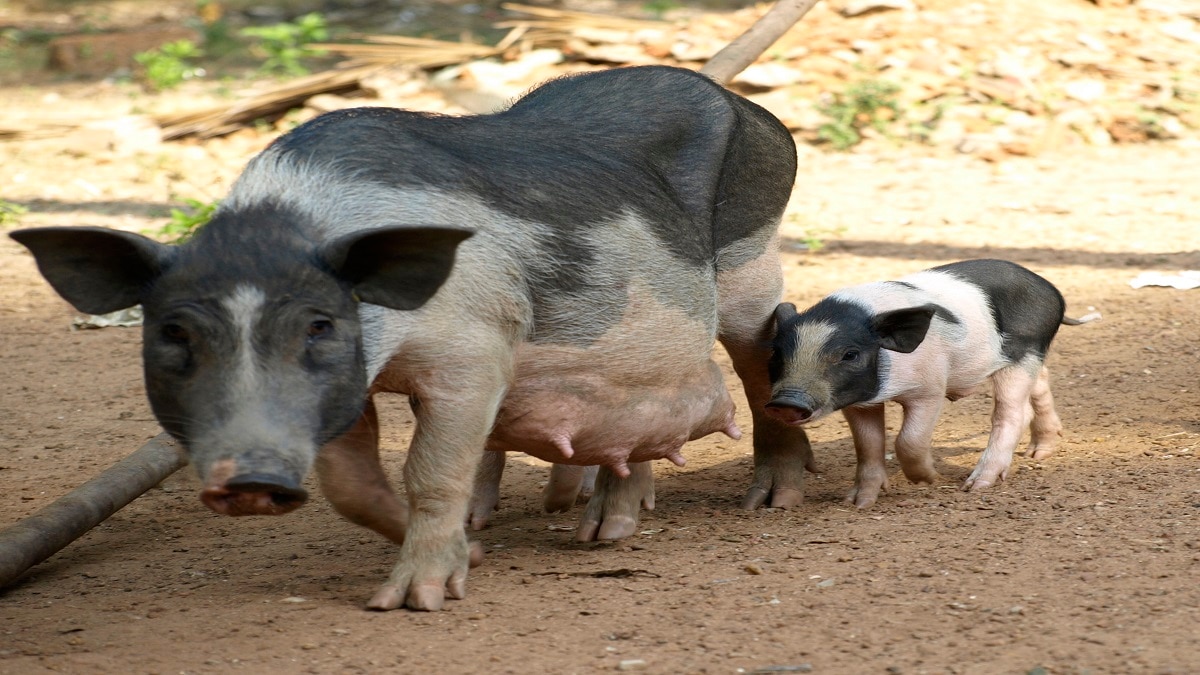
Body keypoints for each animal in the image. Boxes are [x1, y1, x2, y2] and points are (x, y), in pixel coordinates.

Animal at [12, 65, 814, 611]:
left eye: (320, 324)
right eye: (174, 331)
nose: (248, 478)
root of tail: (750, 107)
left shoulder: (478, 342)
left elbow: (432, 469)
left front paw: (415, 601)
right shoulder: (349, 390)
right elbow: (352, 486)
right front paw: (476, 550)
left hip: (750, 259)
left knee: (758, 355)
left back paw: (765, 501)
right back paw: (604, 529)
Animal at [766, 259, 1086, 508]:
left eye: (850, 354)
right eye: (777, 353)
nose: (787, 401)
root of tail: (1050, 289)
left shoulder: (930, 388)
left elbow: (908, 439)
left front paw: (929, 479)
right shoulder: (859, 401)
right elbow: (868, 444)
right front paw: (857, 503)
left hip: (1025, 352)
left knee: (1011, 413)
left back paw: (977, 485)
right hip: (1031, 359)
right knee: (1040, 383)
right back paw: (1039, 453)